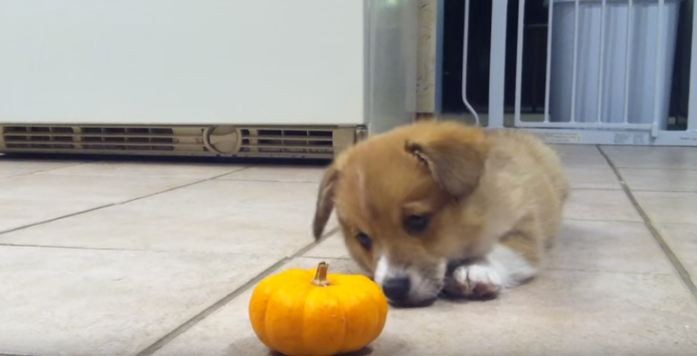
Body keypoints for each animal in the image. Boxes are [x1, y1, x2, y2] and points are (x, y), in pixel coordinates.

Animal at [310, 121, 564, 308]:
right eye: (362, 238)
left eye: (417, 220)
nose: (393, 289)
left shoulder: (524, 229)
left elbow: (500, 250)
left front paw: (476, 271)